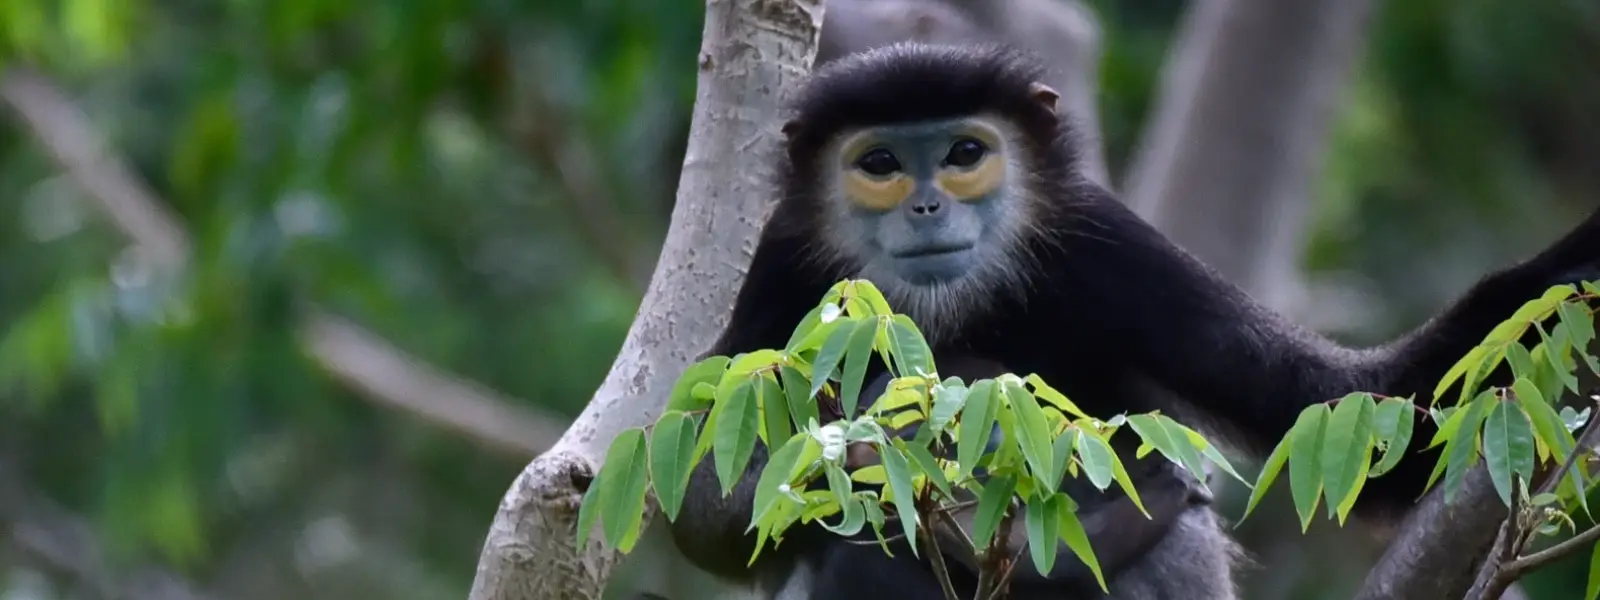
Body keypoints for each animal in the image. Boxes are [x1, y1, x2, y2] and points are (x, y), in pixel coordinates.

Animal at [665, 42, 1600, 599]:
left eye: (965, 154)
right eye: (881, 164)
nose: (927, 206)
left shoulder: (1105, 240)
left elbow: (1347, 410)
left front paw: (1574, 267)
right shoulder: (783, 264)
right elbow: (701, 512)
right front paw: (888, 417)